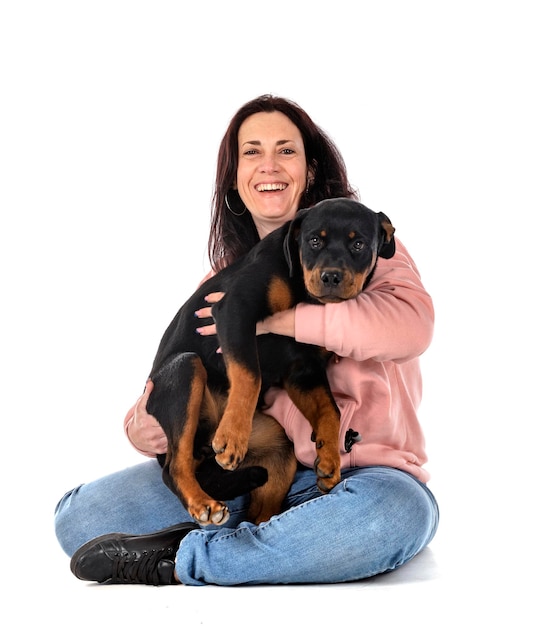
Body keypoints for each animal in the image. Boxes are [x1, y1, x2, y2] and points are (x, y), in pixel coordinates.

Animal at [146, 197, 394, 524]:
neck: (302, 288)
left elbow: (331, 411)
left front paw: (330, 460)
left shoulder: (304, 371)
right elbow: (250, 375)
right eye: (314, 240)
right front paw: (232, 438)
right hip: (185, 367)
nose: (330, 277)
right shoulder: (235, 309)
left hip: (279, 453)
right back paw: (204, 503)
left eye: (359, 244)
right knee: (174, 466)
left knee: (257, 519)